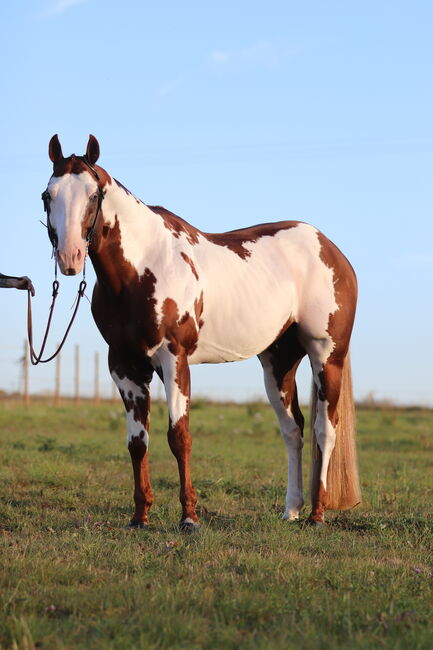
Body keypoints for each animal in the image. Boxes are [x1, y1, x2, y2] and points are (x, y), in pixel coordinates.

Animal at [42, 134, 360, 528]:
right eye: (48, 195)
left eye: (93, 194)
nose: (69, 258)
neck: (143, 267)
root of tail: (332, 251)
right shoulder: (125, 366)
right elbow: (137, 442)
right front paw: (139, 517)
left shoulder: (174, 359)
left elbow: (179, 437)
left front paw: (189, 518)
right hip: (278, 362)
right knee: (293, 430)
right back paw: (291, 510)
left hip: (326, 355)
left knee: (323, 430)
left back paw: (317, 514)